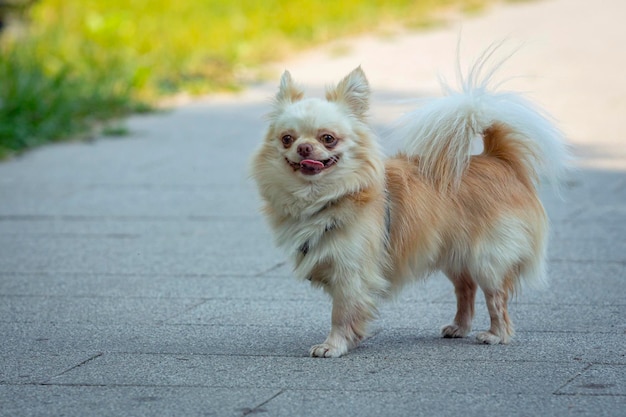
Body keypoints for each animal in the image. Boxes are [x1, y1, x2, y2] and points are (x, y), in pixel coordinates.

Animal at [249, 47, 564, 356]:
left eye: (328, 138)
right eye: (287, 139)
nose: (304, 148)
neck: (325, 197)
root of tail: (499, 159)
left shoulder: (351, 274)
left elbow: (341, 313)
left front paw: (333, 346)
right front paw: (349, 341)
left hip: (488, 260)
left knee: (496, 297)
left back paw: (496, 335)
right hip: (455, 253)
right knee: (466, 288)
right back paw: (459, 327)